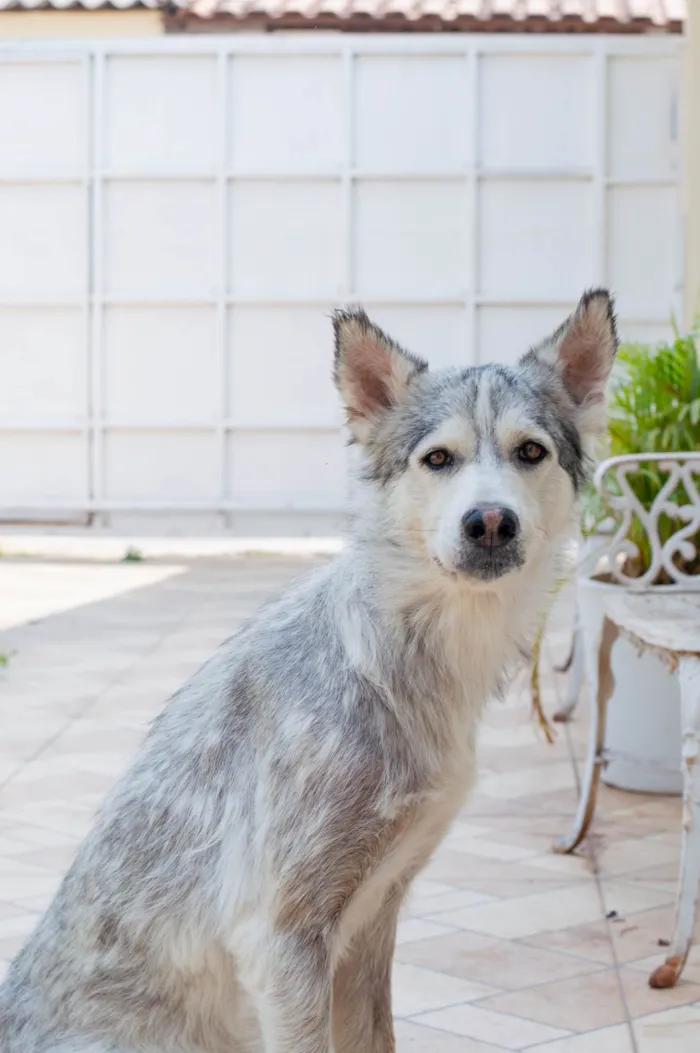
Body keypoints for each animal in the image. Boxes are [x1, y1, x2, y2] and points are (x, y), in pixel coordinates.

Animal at [1, 288, 618, 1053]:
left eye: (530, 451)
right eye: (438, 458)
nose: (490, 522)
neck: (384, 661)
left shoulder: (371, 922)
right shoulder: (284, 939)